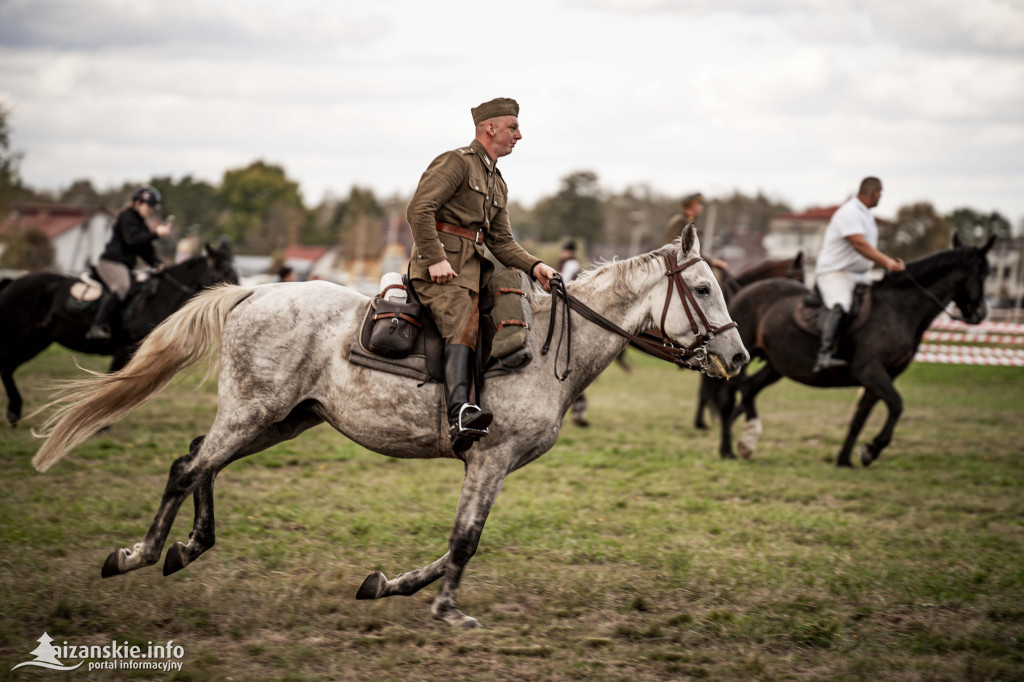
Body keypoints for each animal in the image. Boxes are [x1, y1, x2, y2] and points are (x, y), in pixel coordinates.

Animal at [0, 241, 237, 425]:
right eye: (224, 271)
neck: (156, 298)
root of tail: (12, 282)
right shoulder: (125, 350)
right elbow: (113, 384)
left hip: (35, 342)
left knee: (8, 368)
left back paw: (14, 411)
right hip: (20, 337)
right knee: (6, 367)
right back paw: (13, 411)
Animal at [36, 227, 749, 626]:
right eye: (705, 290)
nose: (739, 357)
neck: (550, 346)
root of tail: (255, 291)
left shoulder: (493, 466)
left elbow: (456, 544)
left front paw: (387, 586)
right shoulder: (490, 459)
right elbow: (464, 541)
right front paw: (446, 610)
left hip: (278, 421)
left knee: (198, 461)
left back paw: (187, 547)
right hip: (253, 415)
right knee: (187, 467)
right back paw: (138, 553)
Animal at [712, 236, 991, 464]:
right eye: (984, 273)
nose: (979, 314)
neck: (897, 309)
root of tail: (742, 292)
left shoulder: (883, 377)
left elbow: (861, 418)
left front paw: (846, 458)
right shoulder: (870, 371)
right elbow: (897, 405)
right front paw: (872, 450)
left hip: (777, 366)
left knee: (749, 390)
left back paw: (748, 442)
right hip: (741, 360)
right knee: (728, 400)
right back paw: (728, 450)